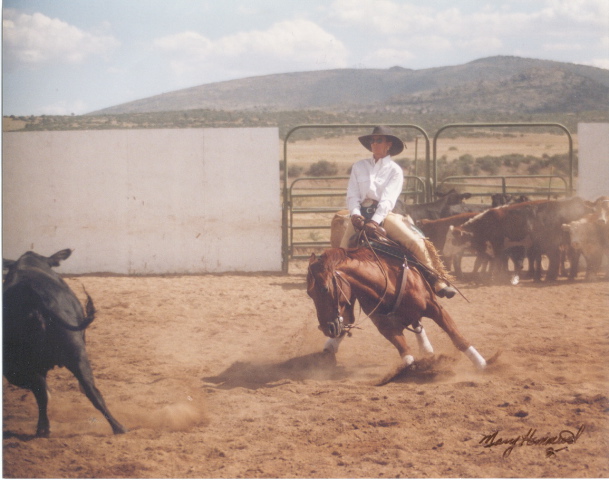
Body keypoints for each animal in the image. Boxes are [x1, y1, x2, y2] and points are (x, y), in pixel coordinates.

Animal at [1, 249, 126, 436]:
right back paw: (119, 427)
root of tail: (34, 299)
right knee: (90, 391)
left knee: (41, 391)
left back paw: (43, 428)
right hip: (76, 354)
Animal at [306, 249, 486, 370]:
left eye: (325, 289)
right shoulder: (385, 326)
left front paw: (482, 364)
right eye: (309, 293)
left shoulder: (436, 308)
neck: (387, 285)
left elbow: (458, 338)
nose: (326, 328)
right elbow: (406, 354)